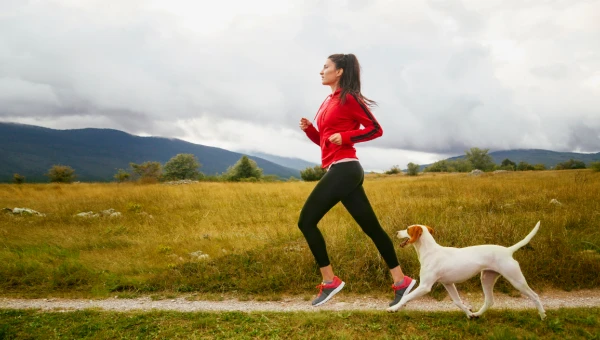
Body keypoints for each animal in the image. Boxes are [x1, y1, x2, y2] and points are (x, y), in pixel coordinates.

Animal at [386, 220, 548, 318]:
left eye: (408, 229)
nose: (396, 232)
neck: (430, 251)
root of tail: (508, 251)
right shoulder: (448, 284)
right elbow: (458, 301)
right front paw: (468, 314)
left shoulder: (425, 286)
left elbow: (406, 296)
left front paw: (394, 308)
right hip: (487, 278)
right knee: (489, 301)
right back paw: (477, 315)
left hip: (516, 280)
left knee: (535, 296)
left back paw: (543, 316)